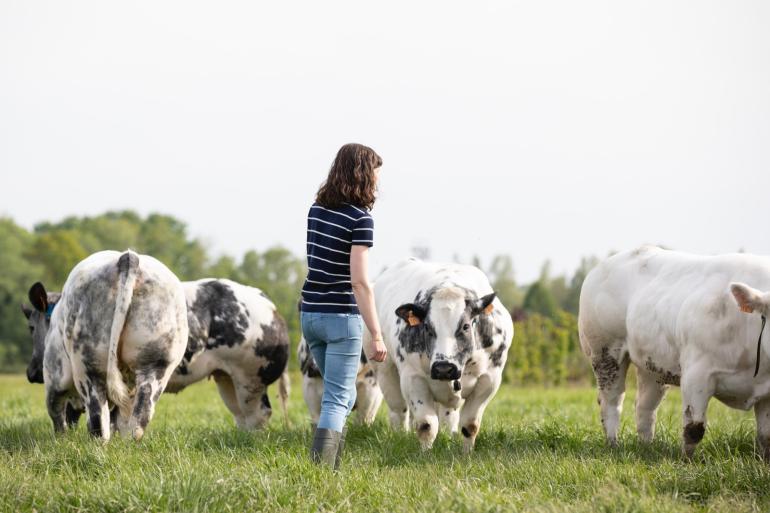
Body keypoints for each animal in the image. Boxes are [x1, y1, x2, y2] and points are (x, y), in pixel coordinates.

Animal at [20, 249, 188, 440]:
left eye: (31, 327)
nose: (32, 372)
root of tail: (127, 257)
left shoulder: (54, 375)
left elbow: (58, 414)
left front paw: (61, 440)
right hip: (156, 364)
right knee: (138, 419)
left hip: (87, 366)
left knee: (97, 421)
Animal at [368, 258, 512, 450]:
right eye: (427, 327)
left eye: (465, 326)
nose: (444, 368)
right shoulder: (413, 378)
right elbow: (426, 425)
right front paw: (425, 452)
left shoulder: (489, 380)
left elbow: (470, 425)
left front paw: (467, 453)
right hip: (385, 371)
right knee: (399, 411)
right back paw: (400, 436)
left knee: (447, 414)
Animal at [580, 246, 768, 458]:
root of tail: (599, 268)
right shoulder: (696, 375)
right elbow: (694, 429)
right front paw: (686, 460)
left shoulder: (766, 391)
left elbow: (765, 436)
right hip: (605, 353)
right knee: (611, 402)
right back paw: (613, 444)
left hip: (653, 367)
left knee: (644, 407)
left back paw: (647, 447)